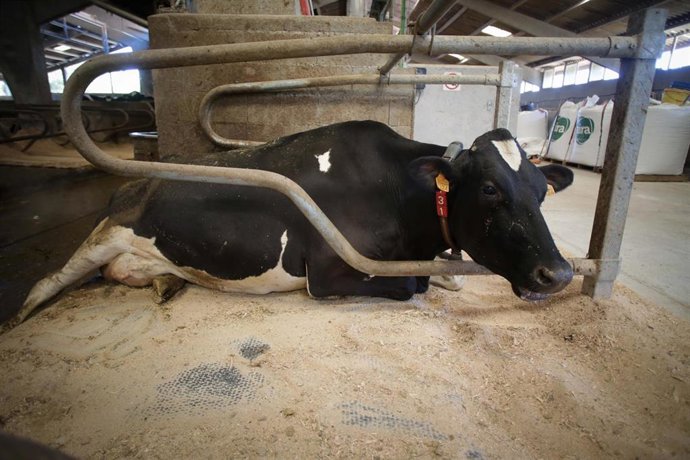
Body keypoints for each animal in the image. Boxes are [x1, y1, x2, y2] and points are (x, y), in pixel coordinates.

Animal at [12, 120, 573, 326]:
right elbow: (412, 284)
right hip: (105, 234)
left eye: (543, 191)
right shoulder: (326, 272)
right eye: (490, 189)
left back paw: (167, 283)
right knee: (47, 281)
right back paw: (18, 317)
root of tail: (136, 181)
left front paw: (449, 277)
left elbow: (442, 279)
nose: (560, 273)